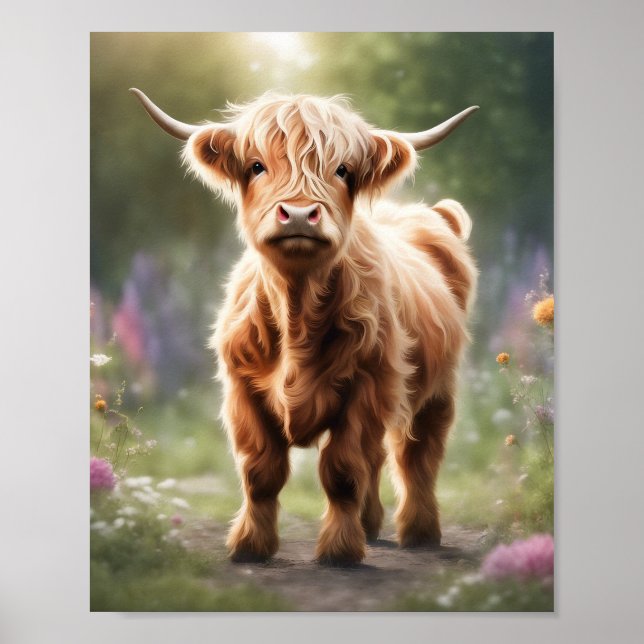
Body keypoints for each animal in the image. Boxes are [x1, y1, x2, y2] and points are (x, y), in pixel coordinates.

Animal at [131, 88, 478, 565]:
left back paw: (420, 532)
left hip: (437, 390)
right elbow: (261, 471)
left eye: (343, 169)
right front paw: (250, 546)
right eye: (257, 165)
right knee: (381, 458)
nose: (297, 215)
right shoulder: (243, 389)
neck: (298, 315)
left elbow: (343, 470)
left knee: (417, 455)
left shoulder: (368, 386)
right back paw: (371, 525)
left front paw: (340, 551)